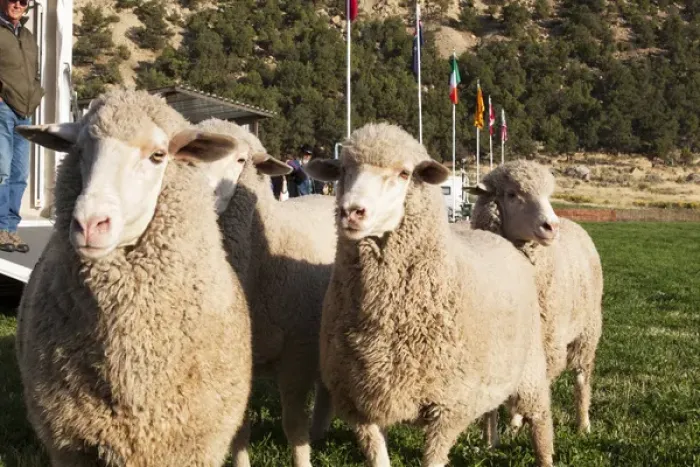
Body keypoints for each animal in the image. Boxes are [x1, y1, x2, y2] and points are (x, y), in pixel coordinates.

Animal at [304, 122, 555, 467]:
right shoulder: (361, 404)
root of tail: (498, 239)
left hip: (529, 367)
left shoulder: (448, 409)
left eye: (404, 173)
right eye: (342, 170)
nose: (351, 212)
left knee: (541, 420)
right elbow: (378, 457)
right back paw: (489, 442)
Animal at [468, 160, 603, 443]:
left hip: (587, 330)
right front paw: (489, 440)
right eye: (511, 194)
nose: (551, 226)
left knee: (581, 378)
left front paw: (517, 424)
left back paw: (583, 424)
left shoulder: (548, 341)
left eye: (548, 195)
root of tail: (573, 223)